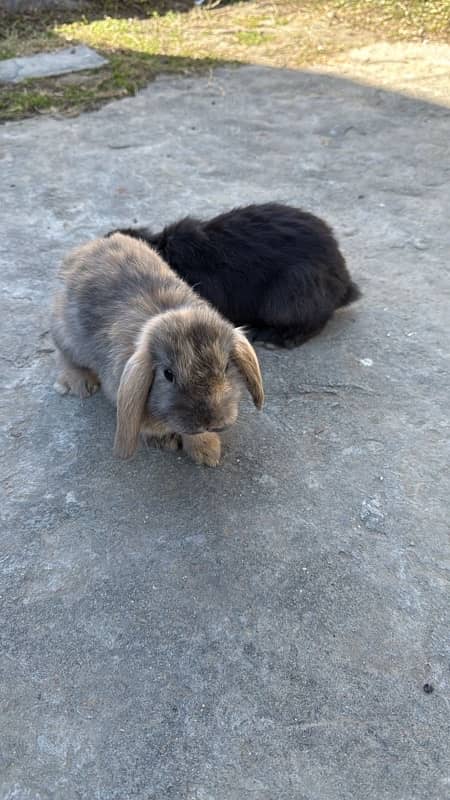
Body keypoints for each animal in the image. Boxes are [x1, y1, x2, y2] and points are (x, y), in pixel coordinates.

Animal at [51, 234, 264, 466]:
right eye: (168, 374)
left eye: (226, 367)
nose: (209, 421)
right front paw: (168, 442)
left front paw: (208, 451)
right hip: (67, 337)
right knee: (64, 357)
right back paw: (82, 384)